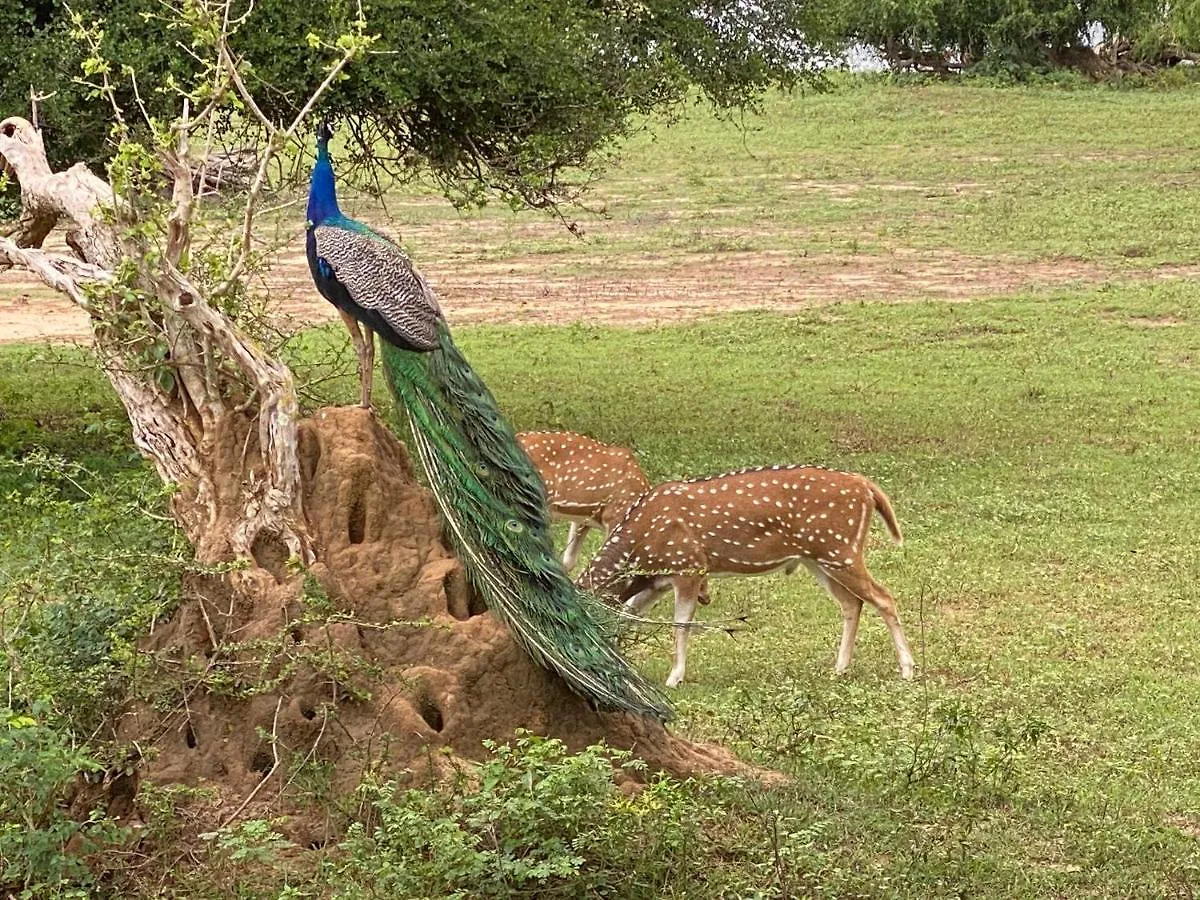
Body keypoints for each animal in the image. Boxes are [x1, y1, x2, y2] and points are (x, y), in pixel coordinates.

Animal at [576, 468, 912, 686]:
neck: (639, 545)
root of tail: (866, 487)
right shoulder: (657, 581)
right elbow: (627, 615)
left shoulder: (688, 566)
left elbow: (681, 624)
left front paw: (675, 677)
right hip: (819, 558)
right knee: (852, 603)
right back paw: (839, 668)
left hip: (839, 549)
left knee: (884, 597)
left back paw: (907, 669)